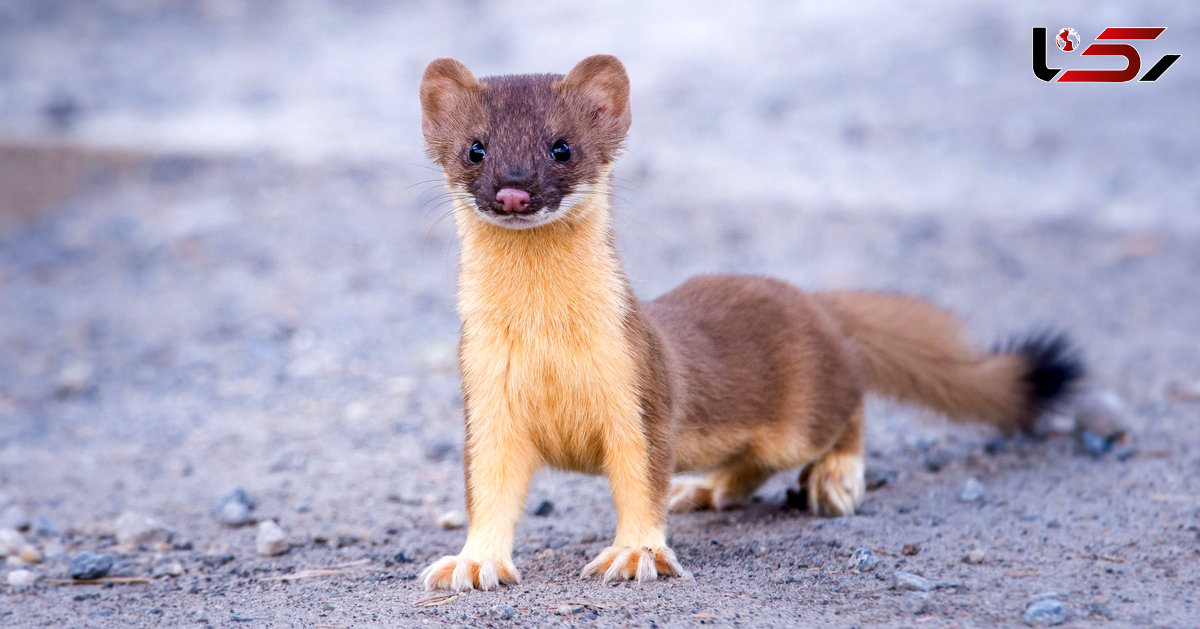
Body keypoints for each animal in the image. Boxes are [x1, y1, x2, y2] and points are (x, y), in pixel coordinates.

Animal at [417, 54, 1084, 590]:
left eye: (562, 146)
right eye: (475, 147)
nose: (513, 191)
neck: (547, 345)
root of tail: (810, 300)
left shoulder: (640, 387)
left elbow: (641, 479)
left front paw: (635, 554)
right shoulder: (486, 399)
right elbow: (489, 489)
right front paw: (472, 564)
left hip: (803, 411)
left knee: (848, 408)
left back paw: (836, 479)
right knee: (753, 461)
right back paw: (705, 489)